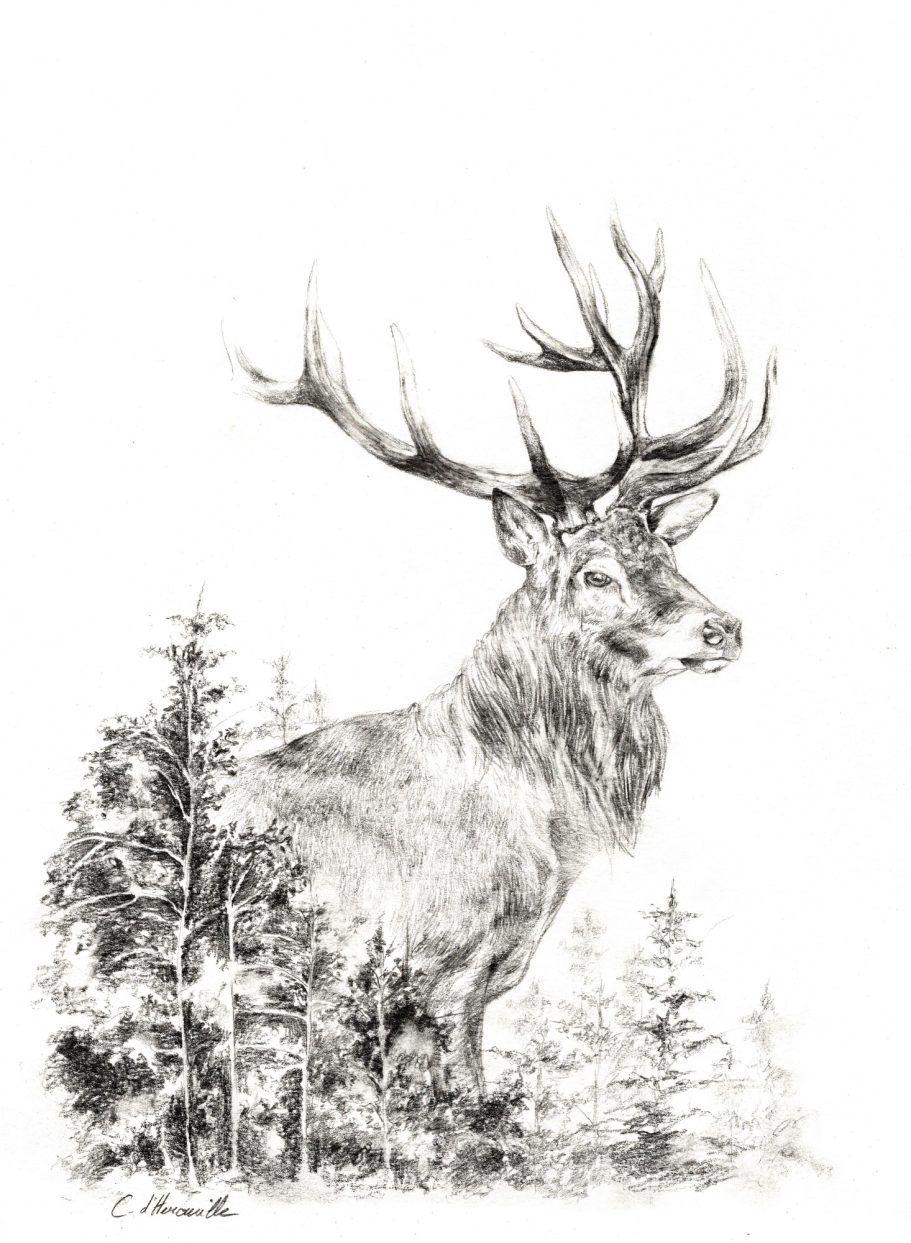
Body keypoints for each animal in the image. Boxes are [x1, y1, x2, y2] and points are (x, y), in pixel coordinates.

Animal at [227, 210, 776, 1096]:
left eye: (667, 554)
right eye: (595, 573)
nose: (721, 627)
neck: (548, 835)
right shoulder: (431, 966)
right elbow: (467, 1098)